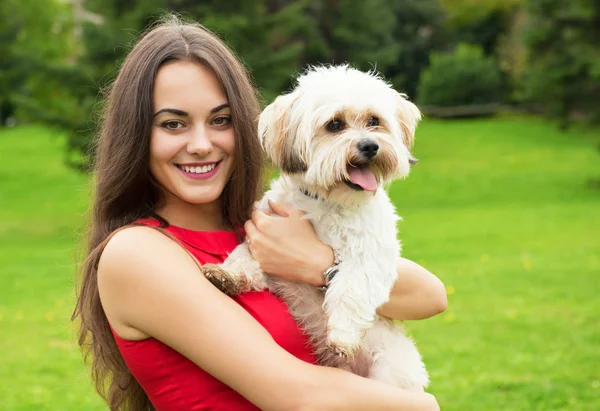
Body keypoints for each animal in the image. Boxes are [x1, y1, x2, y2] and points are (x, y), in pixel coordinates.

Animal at [204, 65, 428, 392]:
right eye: (335, 124)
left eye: (374, 121)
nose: (370, 146)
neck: (328, 201)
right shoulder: (266, 244)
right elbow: (244, 258)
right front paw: (227, 275)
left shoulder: (371, 256)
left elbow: (350, 288)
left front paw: (342, 336)